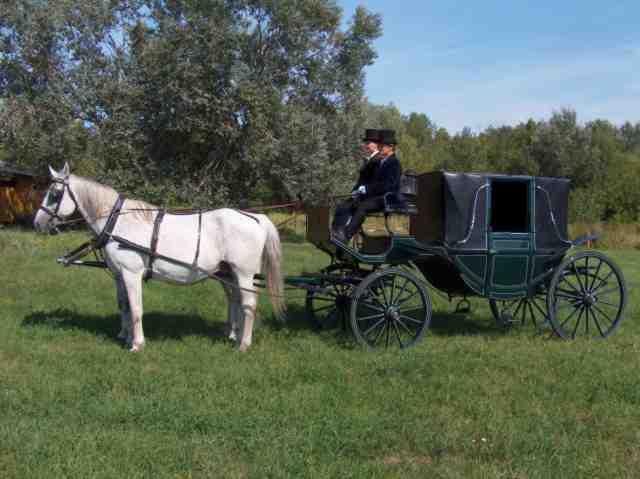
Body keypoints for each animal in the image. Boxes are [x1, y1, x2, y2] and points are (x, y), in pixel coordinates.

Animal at [34, 165, 284, 352]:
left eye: (54, 194)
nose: (37, 223)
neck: (118, 223)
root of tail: (256, 218)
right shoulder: (119, 275)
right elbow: (124, 305)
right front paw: (125, 335)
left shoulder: (131, 273)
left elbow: (136, 308)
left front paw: (137, 344)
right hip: (227, 273)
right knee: (235, 301)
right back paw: (233, 334)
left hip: (244, 273)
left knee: (248, 305)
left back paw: (243, 344)